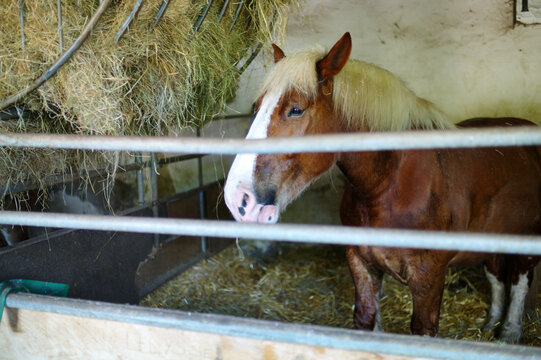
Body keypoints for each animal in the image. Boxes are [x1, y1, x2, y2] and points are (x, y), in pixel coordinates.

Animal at [221, 32, 536, 342]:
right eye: (256, 108)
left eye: (296, 110)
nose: (239, 199)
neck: (389, 185)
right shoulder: (361, 262)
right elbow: (366, 320)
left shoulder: (429, 275)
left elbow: (423, 329)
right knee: (496, 276)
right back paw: (491, 326)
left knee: (520, 281)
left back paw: (508, 335)